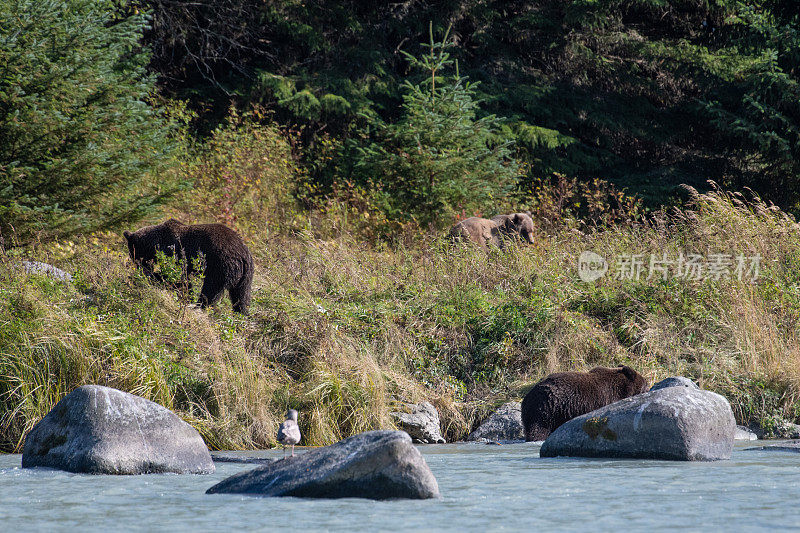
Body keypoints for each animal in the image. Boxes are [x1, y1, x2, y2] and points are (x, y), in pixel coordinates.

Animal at [124, 218, 253, 314]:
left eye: (133, 253)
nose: (136, 266)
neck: (157, 243)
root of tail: (243, 255)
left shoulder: (175, 252)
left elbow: (178, 277)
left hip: (221, 265)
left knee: (211, 289)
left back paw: (199, 306)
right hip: (246, 276)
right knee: (241, 295)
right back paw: (241, 312)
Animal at [520, 366, 648, 440]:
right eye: (645, 383)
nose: (648, 387)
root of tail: (527, 398)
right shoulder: (609, 397)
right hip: (546, 409)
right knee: (538, 429)